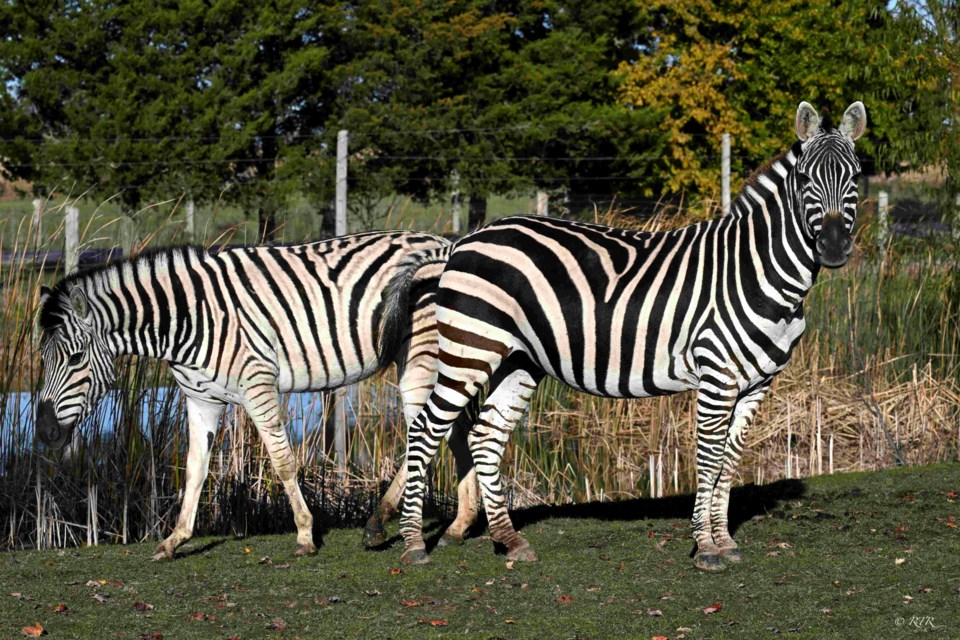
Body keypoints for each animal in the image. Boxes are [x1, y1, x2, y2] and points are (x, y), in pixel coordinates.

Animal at [36, 230, 480, 560]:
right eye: (42, 359)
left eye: (75, 358)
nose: (44, 432)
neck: (188, 319)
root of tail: (447, 241)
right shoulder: (200, 400)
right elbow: (194, 470)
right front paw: (174, 539)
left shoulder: (258, 384)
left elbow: (283, 463)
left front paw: (305, 535)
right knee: (453, 429)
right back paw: (458, 524)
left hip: (421, 356)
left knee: (428, 435)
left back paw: (383, 522)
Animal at [388, 101, 864, 568]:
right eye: (804, 179)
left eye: (856, 177)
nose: (834, 247)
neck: (756, 272)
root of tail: (465, 240)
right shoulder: (716, 374)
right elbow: (709, 457)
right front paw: (706, 547)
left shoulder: (757, 383)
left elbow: (730, 460)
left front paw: (726, 541)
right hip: (470, 348)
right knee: (425, 430)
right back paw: (413, 544)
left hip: (518, 359)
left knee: (485, 434)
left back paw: (511, 540)